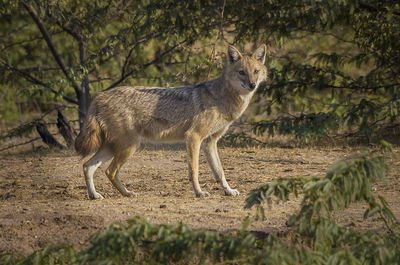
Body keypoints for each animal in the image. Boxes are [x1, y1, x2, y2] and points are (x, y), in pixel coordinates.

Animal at [75, 44, 268, 198]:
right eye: (241, 72)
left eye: (255, 71)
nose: (252, 85)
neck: (222, 98)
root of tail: (99, 95)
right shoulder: (193, 137)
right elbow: (194, 171)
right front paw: (199, 192)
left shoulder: (210, 142)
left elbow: (219, 172)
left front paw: (228, 191)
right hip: (128, 147)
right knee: (109, 171)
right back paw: (127, 194)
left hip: (113, 148)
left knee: (87, 166)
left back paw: (95, 195)